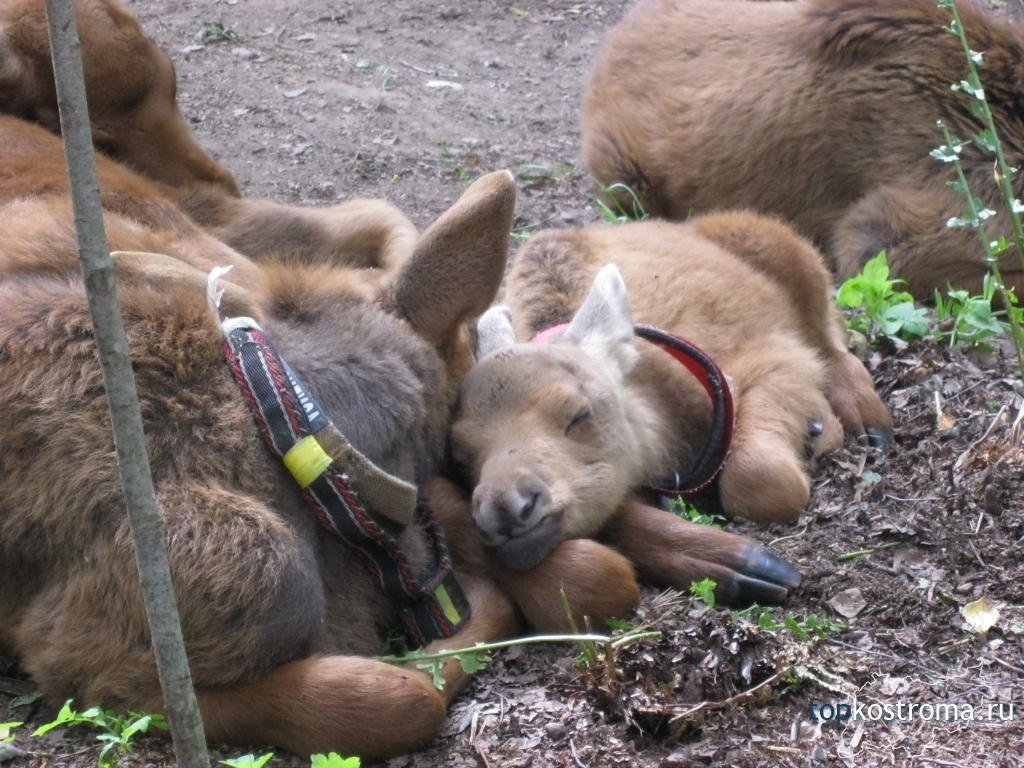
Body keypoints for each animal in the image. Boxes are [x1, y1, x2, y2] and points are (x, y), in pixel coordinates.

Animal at [452, 214, 892, 606]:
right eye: (461, 456)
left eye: (579, 415)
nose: (506, 507)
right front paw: (737, 567)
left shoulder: (775, 357)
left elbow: (757, 481)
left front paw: (820, 433)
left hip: (802, 269)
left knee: (836, 342)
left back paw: (870, 426)